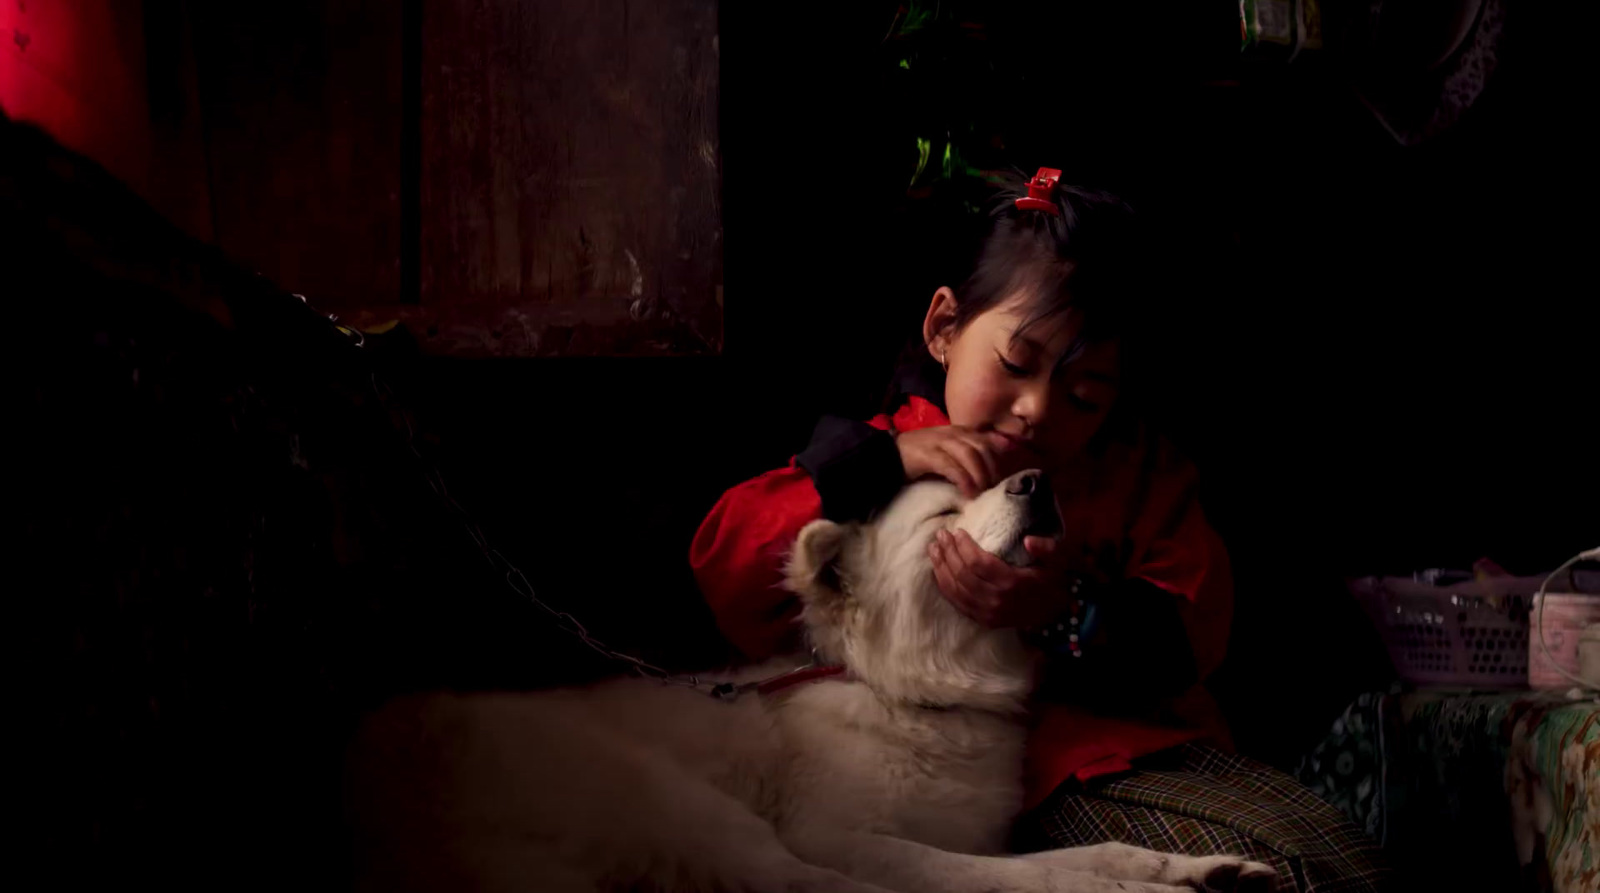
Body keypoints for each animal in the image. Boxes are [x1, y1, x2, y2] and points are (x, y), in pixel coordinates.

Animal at [347, 473, 1273, 889]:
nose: (1037, 480)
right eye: (945, 513)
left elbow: (1087, 848)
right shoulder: (839, 833)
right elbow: (1012, 876)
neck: (917, 694)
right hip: (682, 802)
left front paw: (1191, 867)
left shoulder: (970, 832)